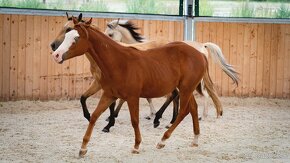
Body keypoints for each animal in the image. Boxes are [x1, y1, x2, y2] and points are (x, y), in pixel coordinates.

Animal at [51, 17, 220, 157]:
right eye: (67, 34)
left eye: (76, 38)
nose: (56, 55)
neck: (119, 62)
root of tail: (201, 53)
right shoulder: (109, 94)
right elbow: (94, 116)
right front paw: (83, 148)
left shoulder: (132, 97)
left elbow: (134, 121)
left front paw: (136, 146)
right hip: (187, 89)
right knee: (193, 108)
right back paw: (195, 139)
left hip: (185, 89)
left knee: (184, 111)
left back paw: (162, 140)